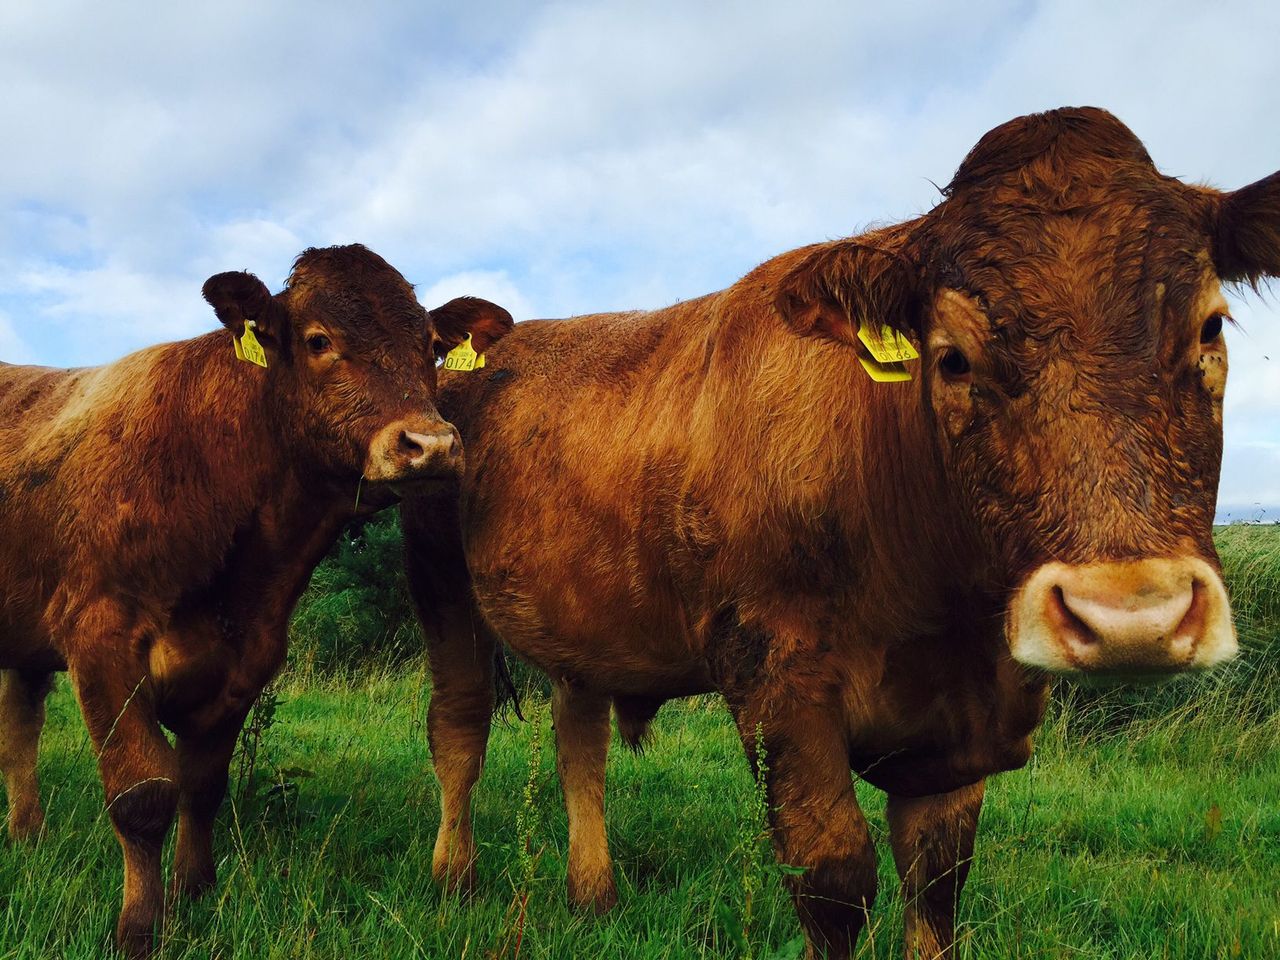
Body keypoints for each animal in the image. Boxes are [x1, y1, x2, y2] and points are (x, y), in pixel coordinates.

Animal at [0, 244, 512, 958]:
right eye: (319, 340)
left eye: (432, 349)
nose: (431, 446)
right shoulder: (100, 636)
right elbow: (142, 795)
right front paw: (139, 927)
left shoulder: (248, 657)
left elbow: (203, 785)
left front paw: (193, 891)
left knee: (18, 726)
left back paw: (27, 835)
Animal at [401, 107, 1276, 958]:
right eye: (952, 358)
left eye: (1210, 328)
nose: (1132, 617)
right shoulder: (776, 684)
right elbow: (832, 876)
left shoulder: (954, 736)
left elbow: (937, 883)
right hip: (440, 579)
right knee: (460, 724)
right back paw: (453, 883)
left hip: (584, 620)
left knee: (578, 740)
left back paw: (594, 897)